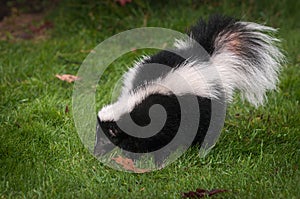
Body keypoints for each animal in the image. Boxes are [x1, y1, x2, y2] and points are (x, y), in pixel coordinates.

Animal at [95, 14, 284, 163]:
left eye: (105, 139)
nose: (96, 152)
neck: (134, 100)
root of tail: (207, 58)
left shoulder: (163, 116)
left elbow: (164, 140)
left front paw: (158, 160)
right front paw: (134, 157)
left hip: (207, 104)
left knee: (207, 127)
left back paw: (201, 148)